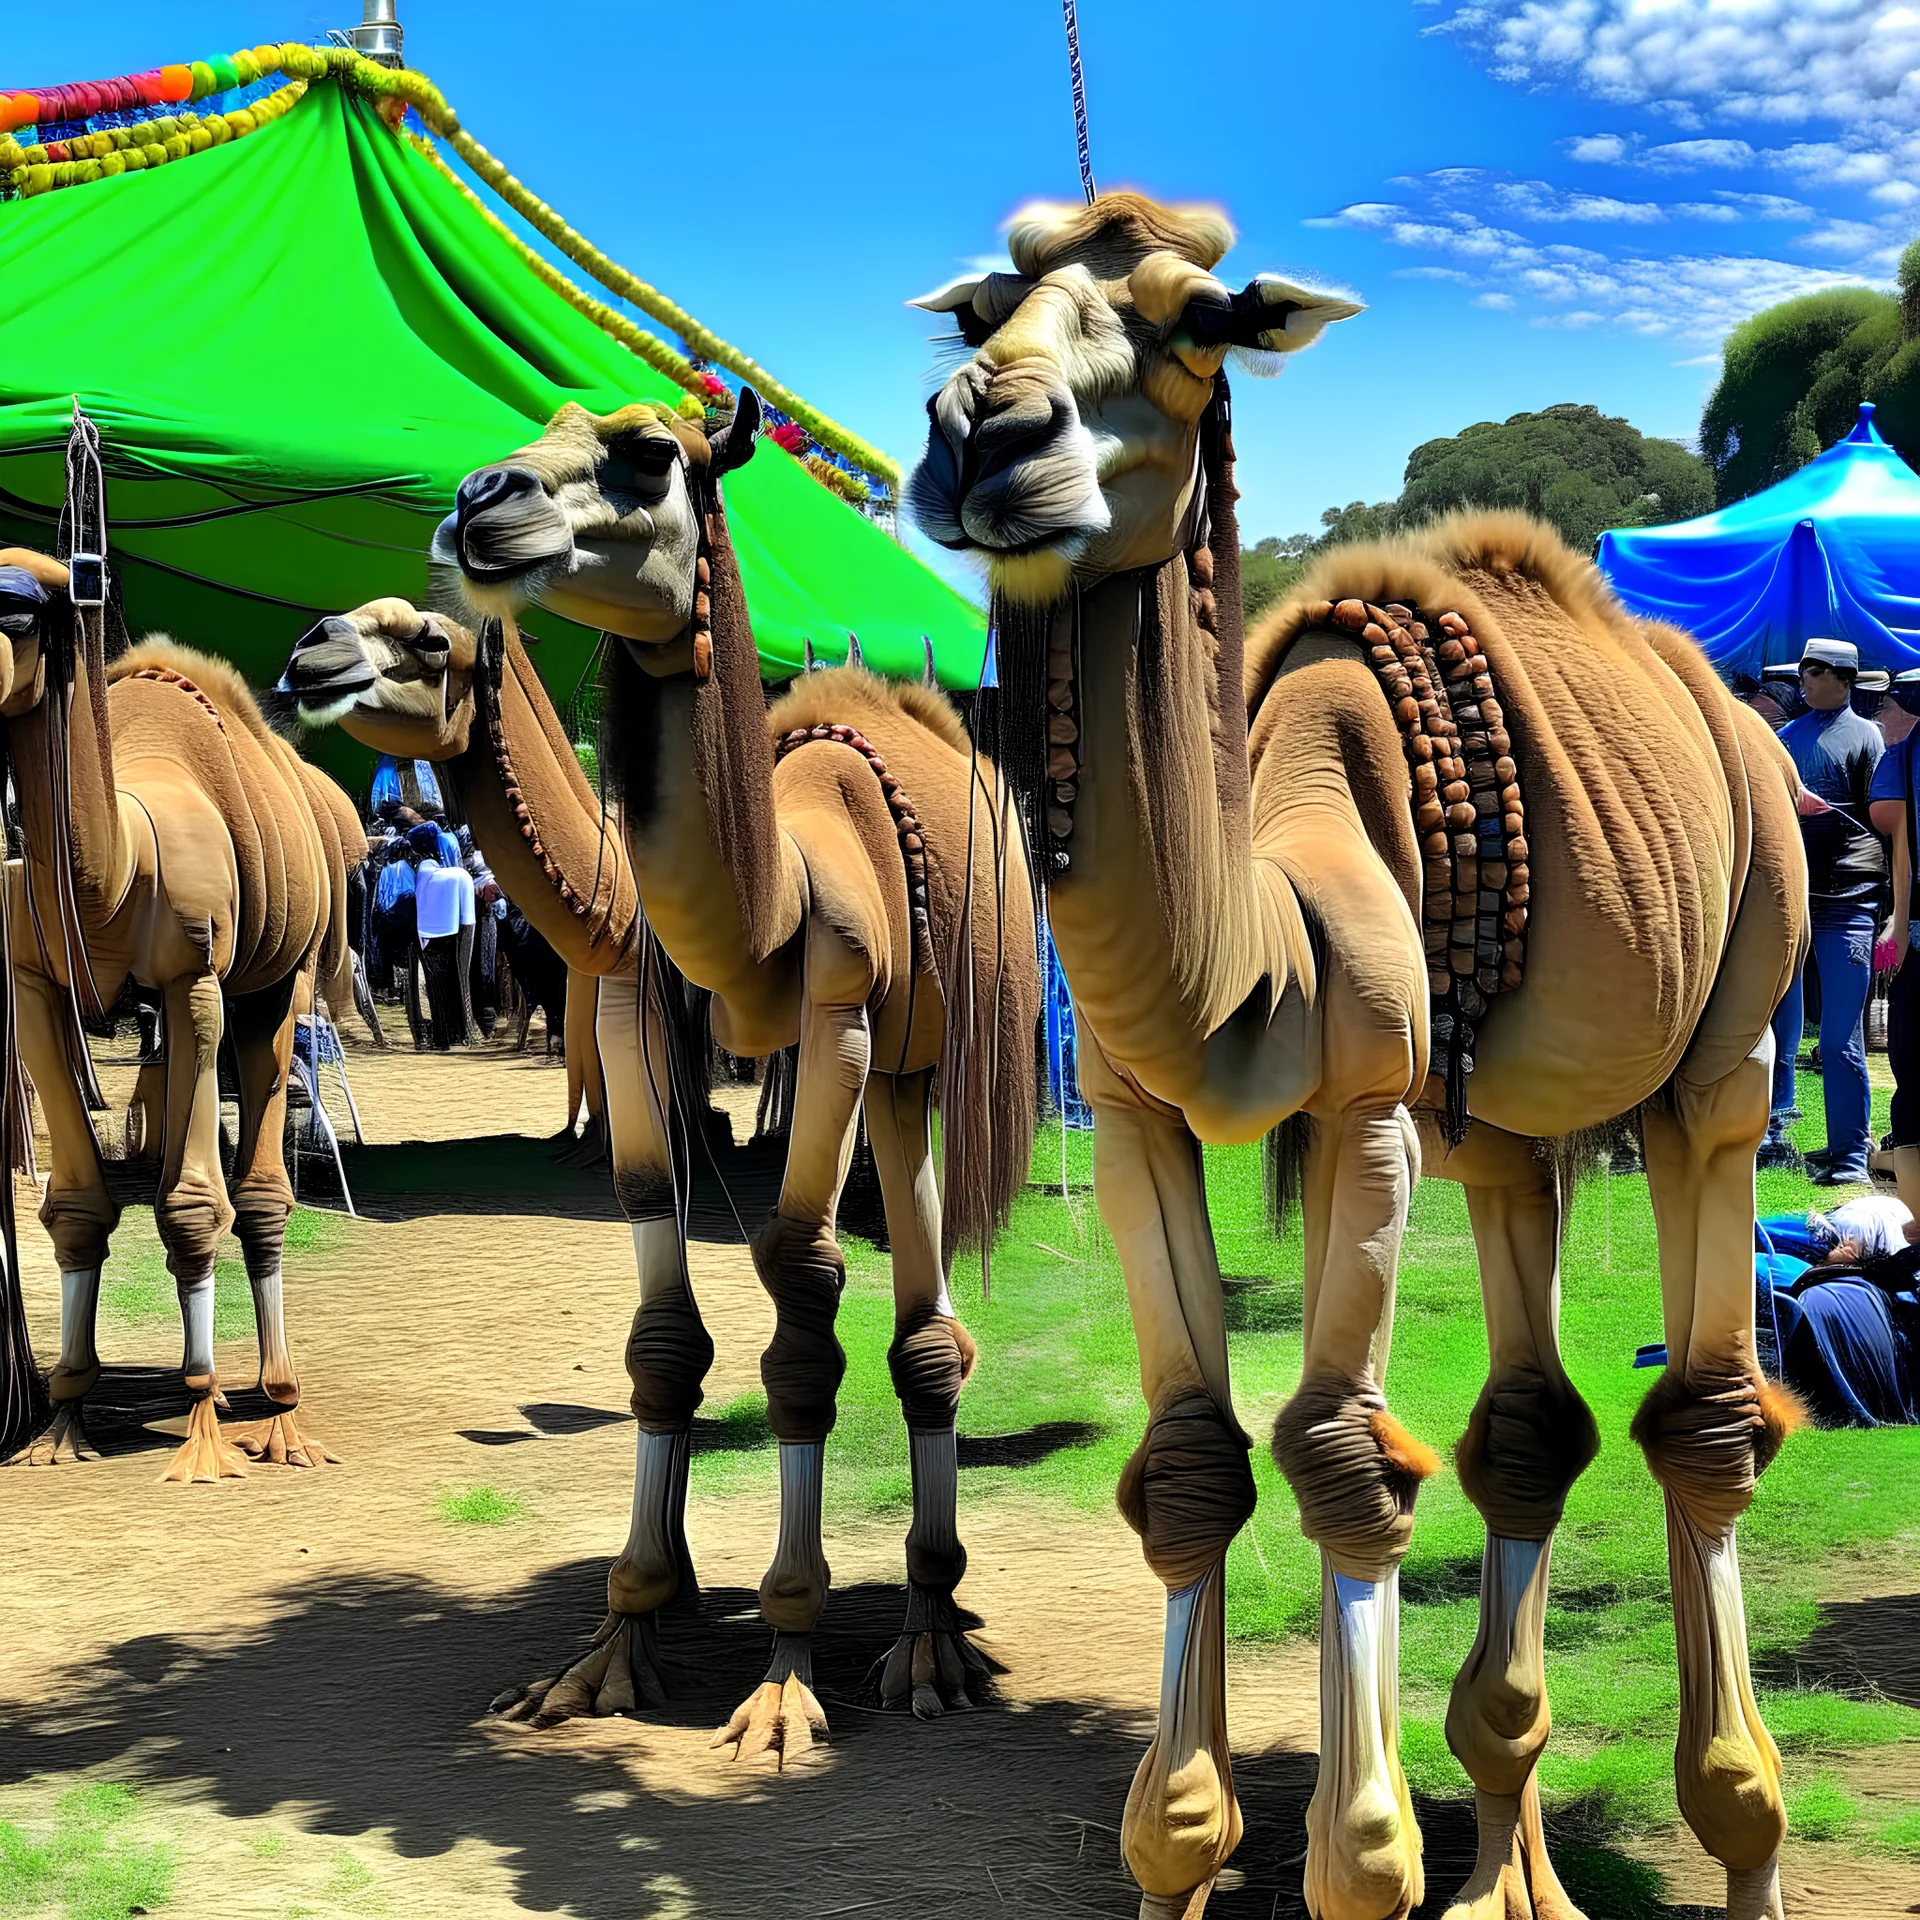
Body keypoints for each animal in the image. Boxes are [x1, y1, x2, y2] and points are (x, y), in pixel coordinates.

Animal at [0, 545, 353, 1482]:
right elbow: (76, 1206)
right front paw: (61, 1424)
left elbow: (193, 1202)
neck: (121, 865)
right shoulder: (33, 983)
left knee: (262, 1186)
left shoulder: (195, 976)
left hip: (280, 978)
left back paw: (276, 1414)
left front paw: (199, 1435)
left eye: (15, 613)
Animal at [362, 389, 1036, 1758]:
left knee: (922, 1325)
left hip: (926, 1057)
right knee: (922, 1328)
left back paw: (933, 1636)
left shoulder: (836, 1014)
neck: (766, 905)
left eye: (648, 453)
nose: (479, 498)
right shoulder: (631, 1007)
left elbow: (803, 1291)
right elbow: (661, 1325)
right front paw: (614, 1646)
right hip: (894, 1079)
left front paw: (782, 1673)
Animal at [906, 194, 1804, 1920]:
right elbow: (1194, 1458)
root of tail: (1731, 712)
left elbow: (1339, 1457)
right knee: (1531, 1424)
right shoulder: (1136, 1115)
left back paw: (1740, 1827)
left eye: (1198, 320)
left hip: (1727, 1039)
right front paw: (1180, 1847)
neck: (1269, 937)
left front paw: (1366, 1856)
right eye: (985, 304)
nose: (986, 432)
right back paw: (1514, 1872)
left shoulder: (1370, 1107)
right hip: (1509, 1127)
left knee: (1710, 1418)